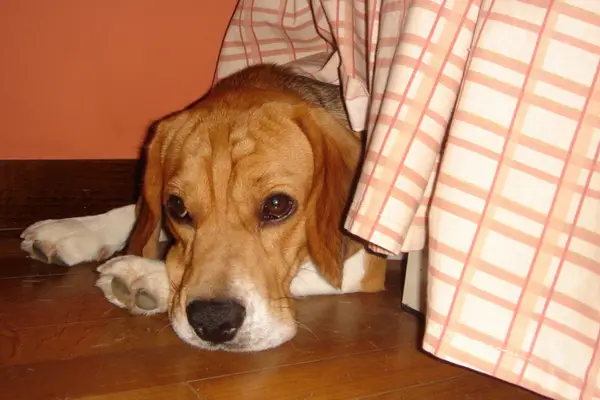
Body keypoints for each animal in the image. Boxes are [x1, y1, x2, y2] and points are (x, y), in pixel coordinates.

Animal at [21, 64, 386, 352]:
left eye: (277, 205)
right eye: (177, 207)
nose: (213, 322)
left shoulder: (364, 263)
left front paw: (146, 275)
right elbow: (136, 212)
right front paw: (73, 230)